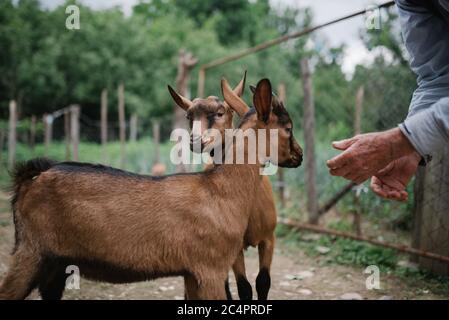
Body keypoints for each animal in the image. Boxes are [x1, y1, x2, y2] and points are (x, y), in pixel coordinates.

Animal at [0, 77, 302, 300]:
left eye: (220, 113)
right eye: (288, 127)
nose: (298, 155)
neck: (220, 191)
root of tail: (31, 179)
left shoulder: (191, 273)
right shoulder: (211, 268)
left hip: (55, 264)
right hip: (31, 251)